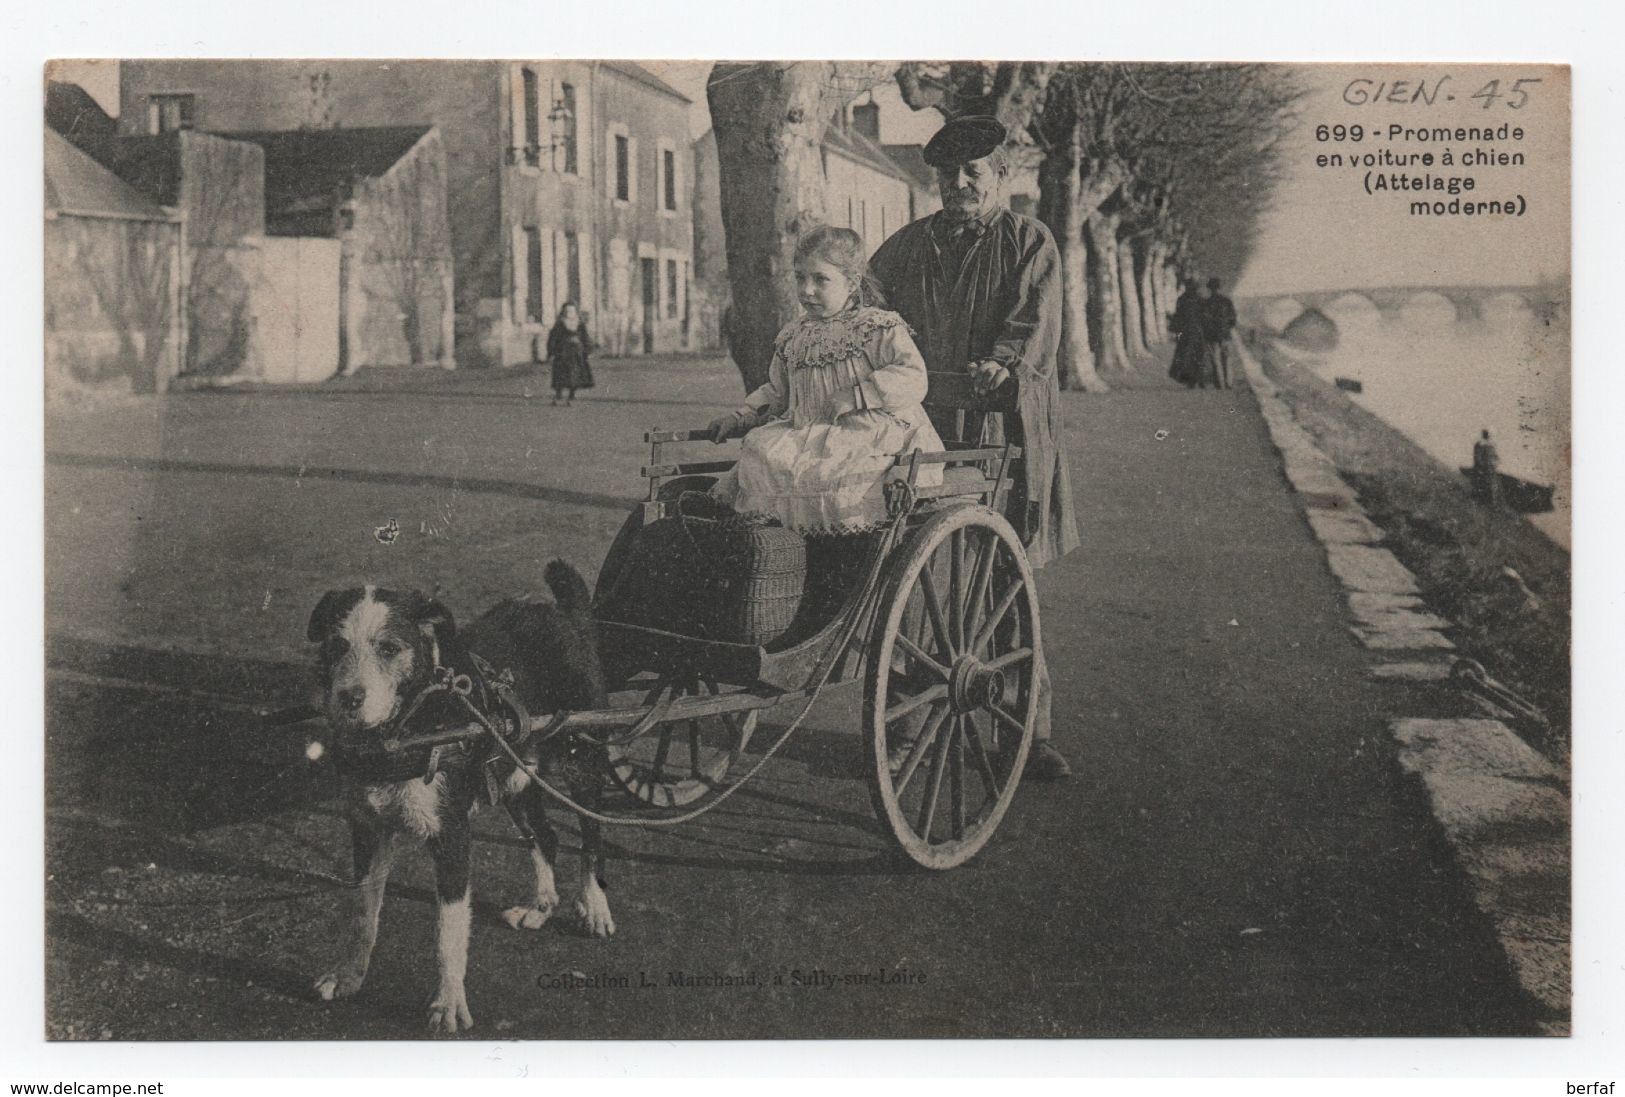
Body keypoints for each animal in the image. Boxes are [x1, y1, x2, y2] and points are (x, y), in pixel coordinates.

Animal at [305, 562, 611, 1033]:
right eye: (337, 645)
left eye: (390, 647)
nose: (349, 699)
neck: (405, 730)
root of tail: (561, 613)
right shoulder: (368, 830)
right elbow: (362, 914)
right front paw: (348, 975)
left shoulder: (452, 837)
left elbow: (447, 933)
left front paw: (448, 1002)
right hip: (514, 775)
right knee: (546, 836)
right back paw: (540, 906)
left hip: (584, 759)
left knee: (592, 833)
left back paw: (594, 904)